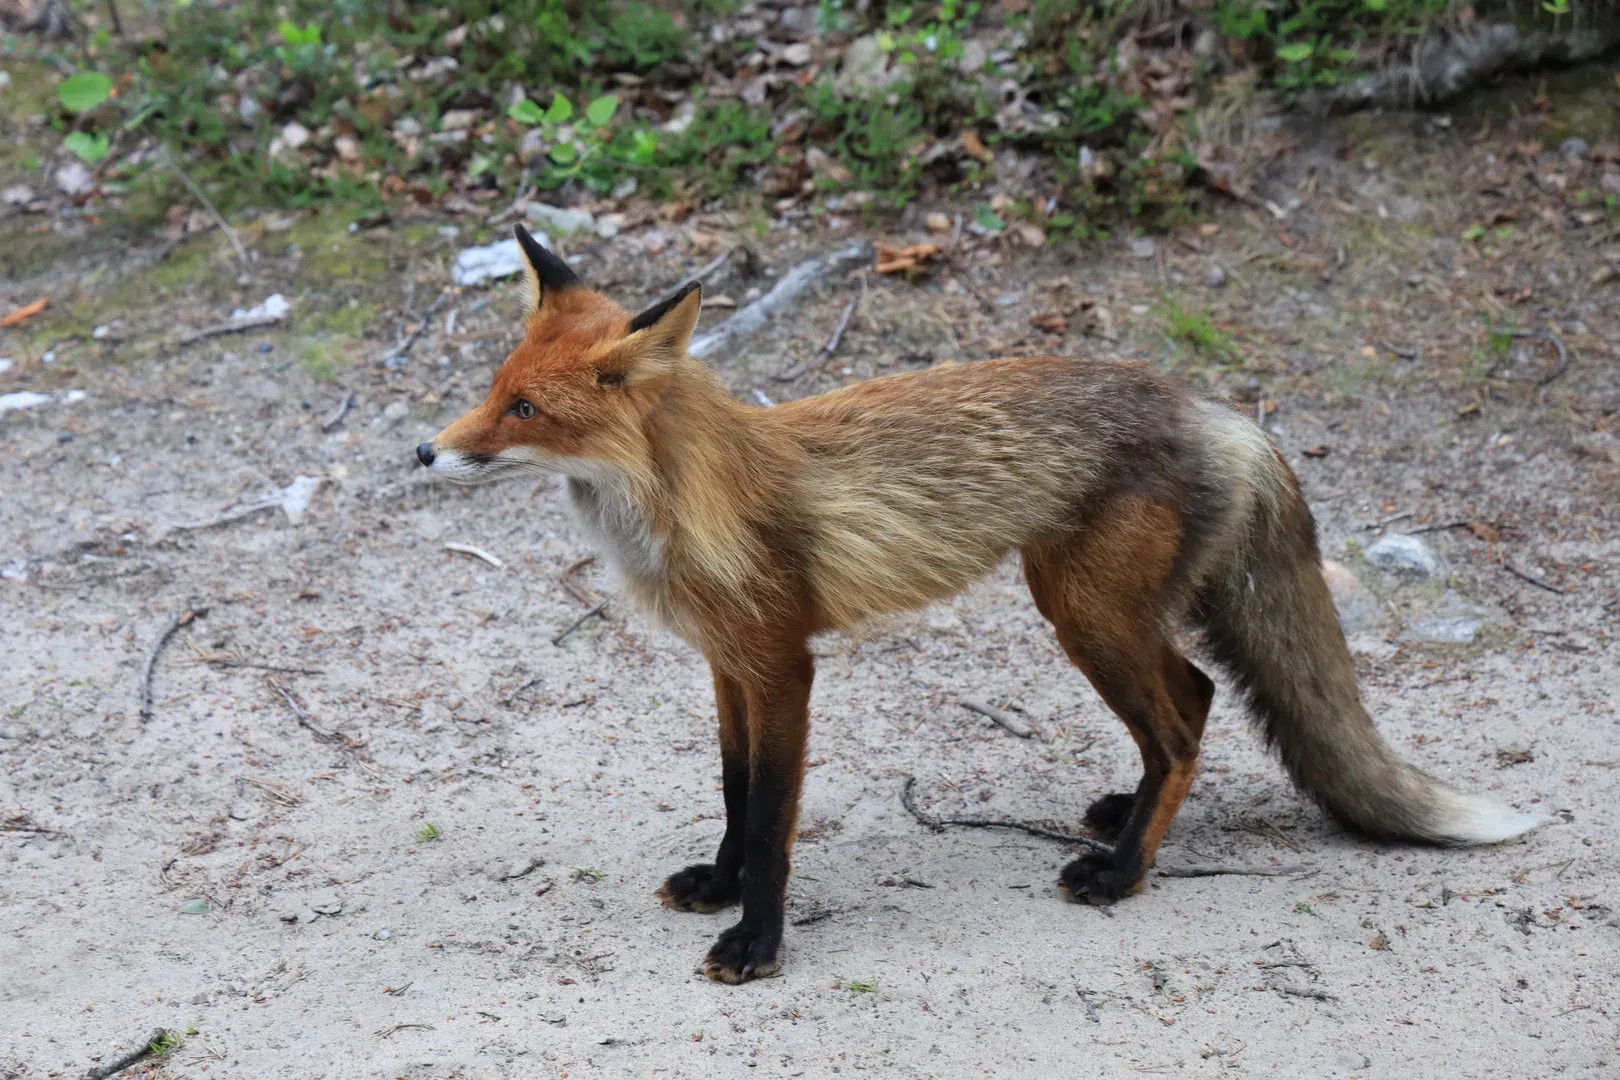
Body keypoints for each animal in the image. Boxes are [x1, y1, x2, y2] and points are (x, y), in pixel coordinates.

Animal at [416, 224, 1539, 983]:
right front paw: (721, 887)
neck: (686, 501)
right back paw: (1125, 820)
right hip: (1097, 611)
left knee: (1183, 719)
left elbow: (774, 819)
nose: (425, 451)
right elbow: (735, 796)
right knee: (1198, 697)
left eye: (526, 409)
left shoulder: (783, 666)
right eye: (494, 387)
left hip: (1081, 611)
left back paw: (1120, 874)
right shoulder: (726, 664)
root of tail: (1218, 407)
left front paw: (758, 939)